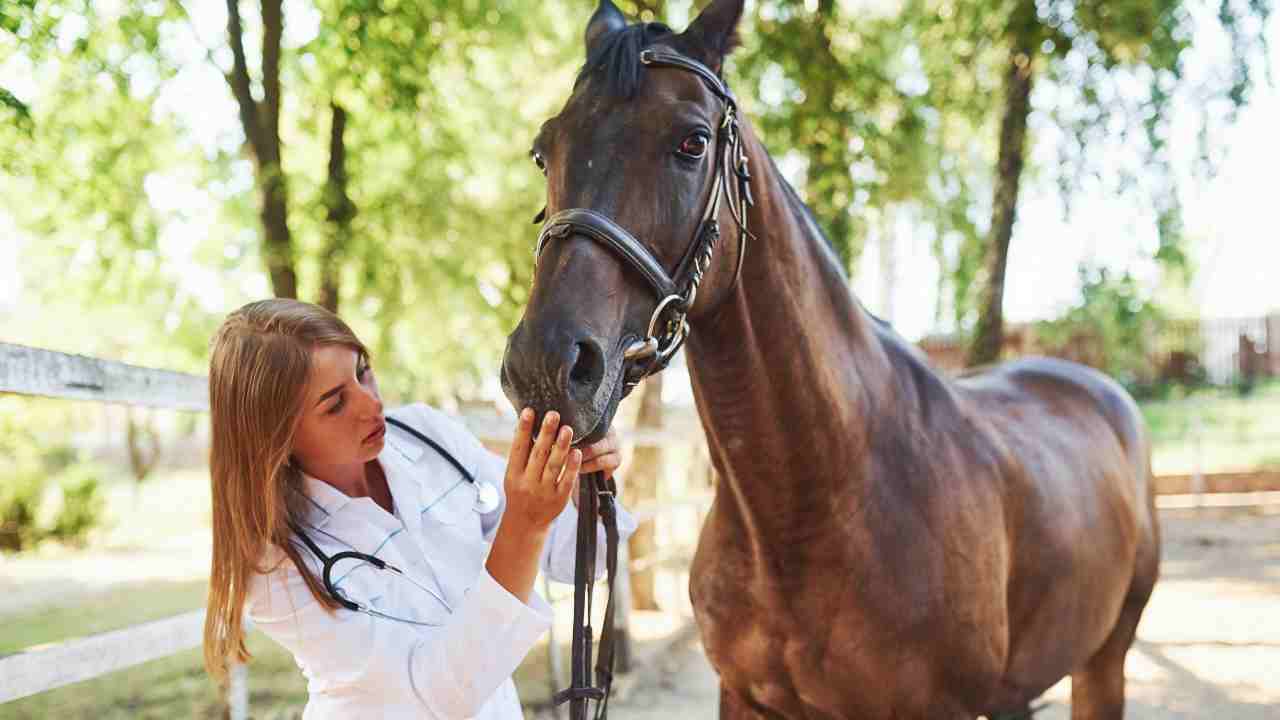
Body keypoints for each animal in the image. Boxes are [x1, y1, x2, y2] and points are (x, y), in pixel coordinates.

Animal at [500, 2, 1160, 717]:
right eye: (544, 151)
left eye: (693, 142)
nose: (546, 364)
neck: (812, 510)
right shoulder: (743, 697)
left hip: (1105, 660)